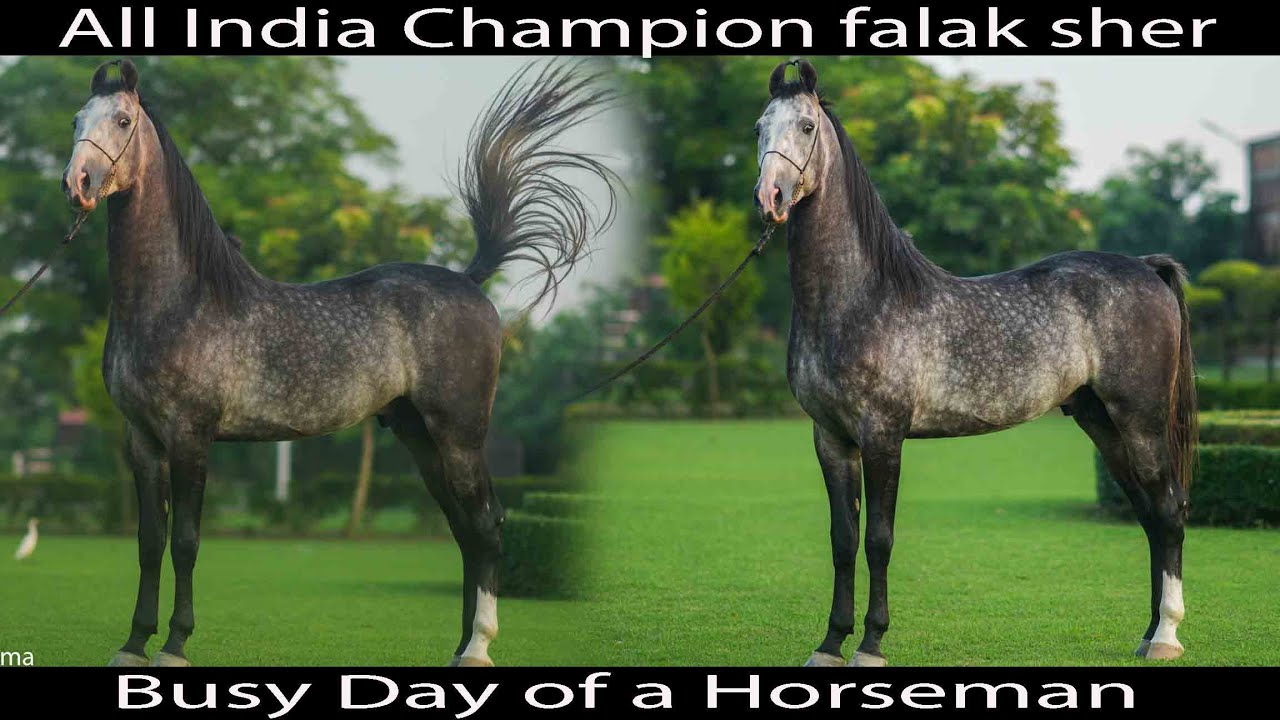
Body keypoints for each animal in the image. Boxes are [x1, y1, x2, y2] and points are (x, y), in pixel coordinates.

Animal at [61, 59, 617, 668]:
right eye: (77, 118)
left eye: (121, 120)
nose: (77, 183)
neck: (179, 299)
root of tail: (470, 281)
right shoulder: (141, 439)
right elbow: (148, 542)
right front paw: (134, 644)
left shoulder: (190, 435)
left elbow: (185, 542)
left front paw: (175, 645)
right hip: (418, 436)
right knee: (463, 531)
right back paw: (459, 647)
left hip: (460, 435)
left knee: (487, 525)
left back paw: (478, 647)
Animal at [752, 60, 1196, 666]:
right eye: (759, 127)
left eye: (806, 126)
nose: (770, 196)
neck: (861, 296)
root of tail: (1147, 268)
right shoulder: (831, 438)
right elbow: (843, 540)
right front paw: (830, 644)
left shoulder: (882, 436)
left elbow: (878, 540)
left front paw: (871, 644)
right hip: (1100, 421)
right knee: (1149, 515)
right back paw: (1148, 634)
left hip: (1140, 421)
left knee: (1169, 512)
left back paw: (1167, 636)